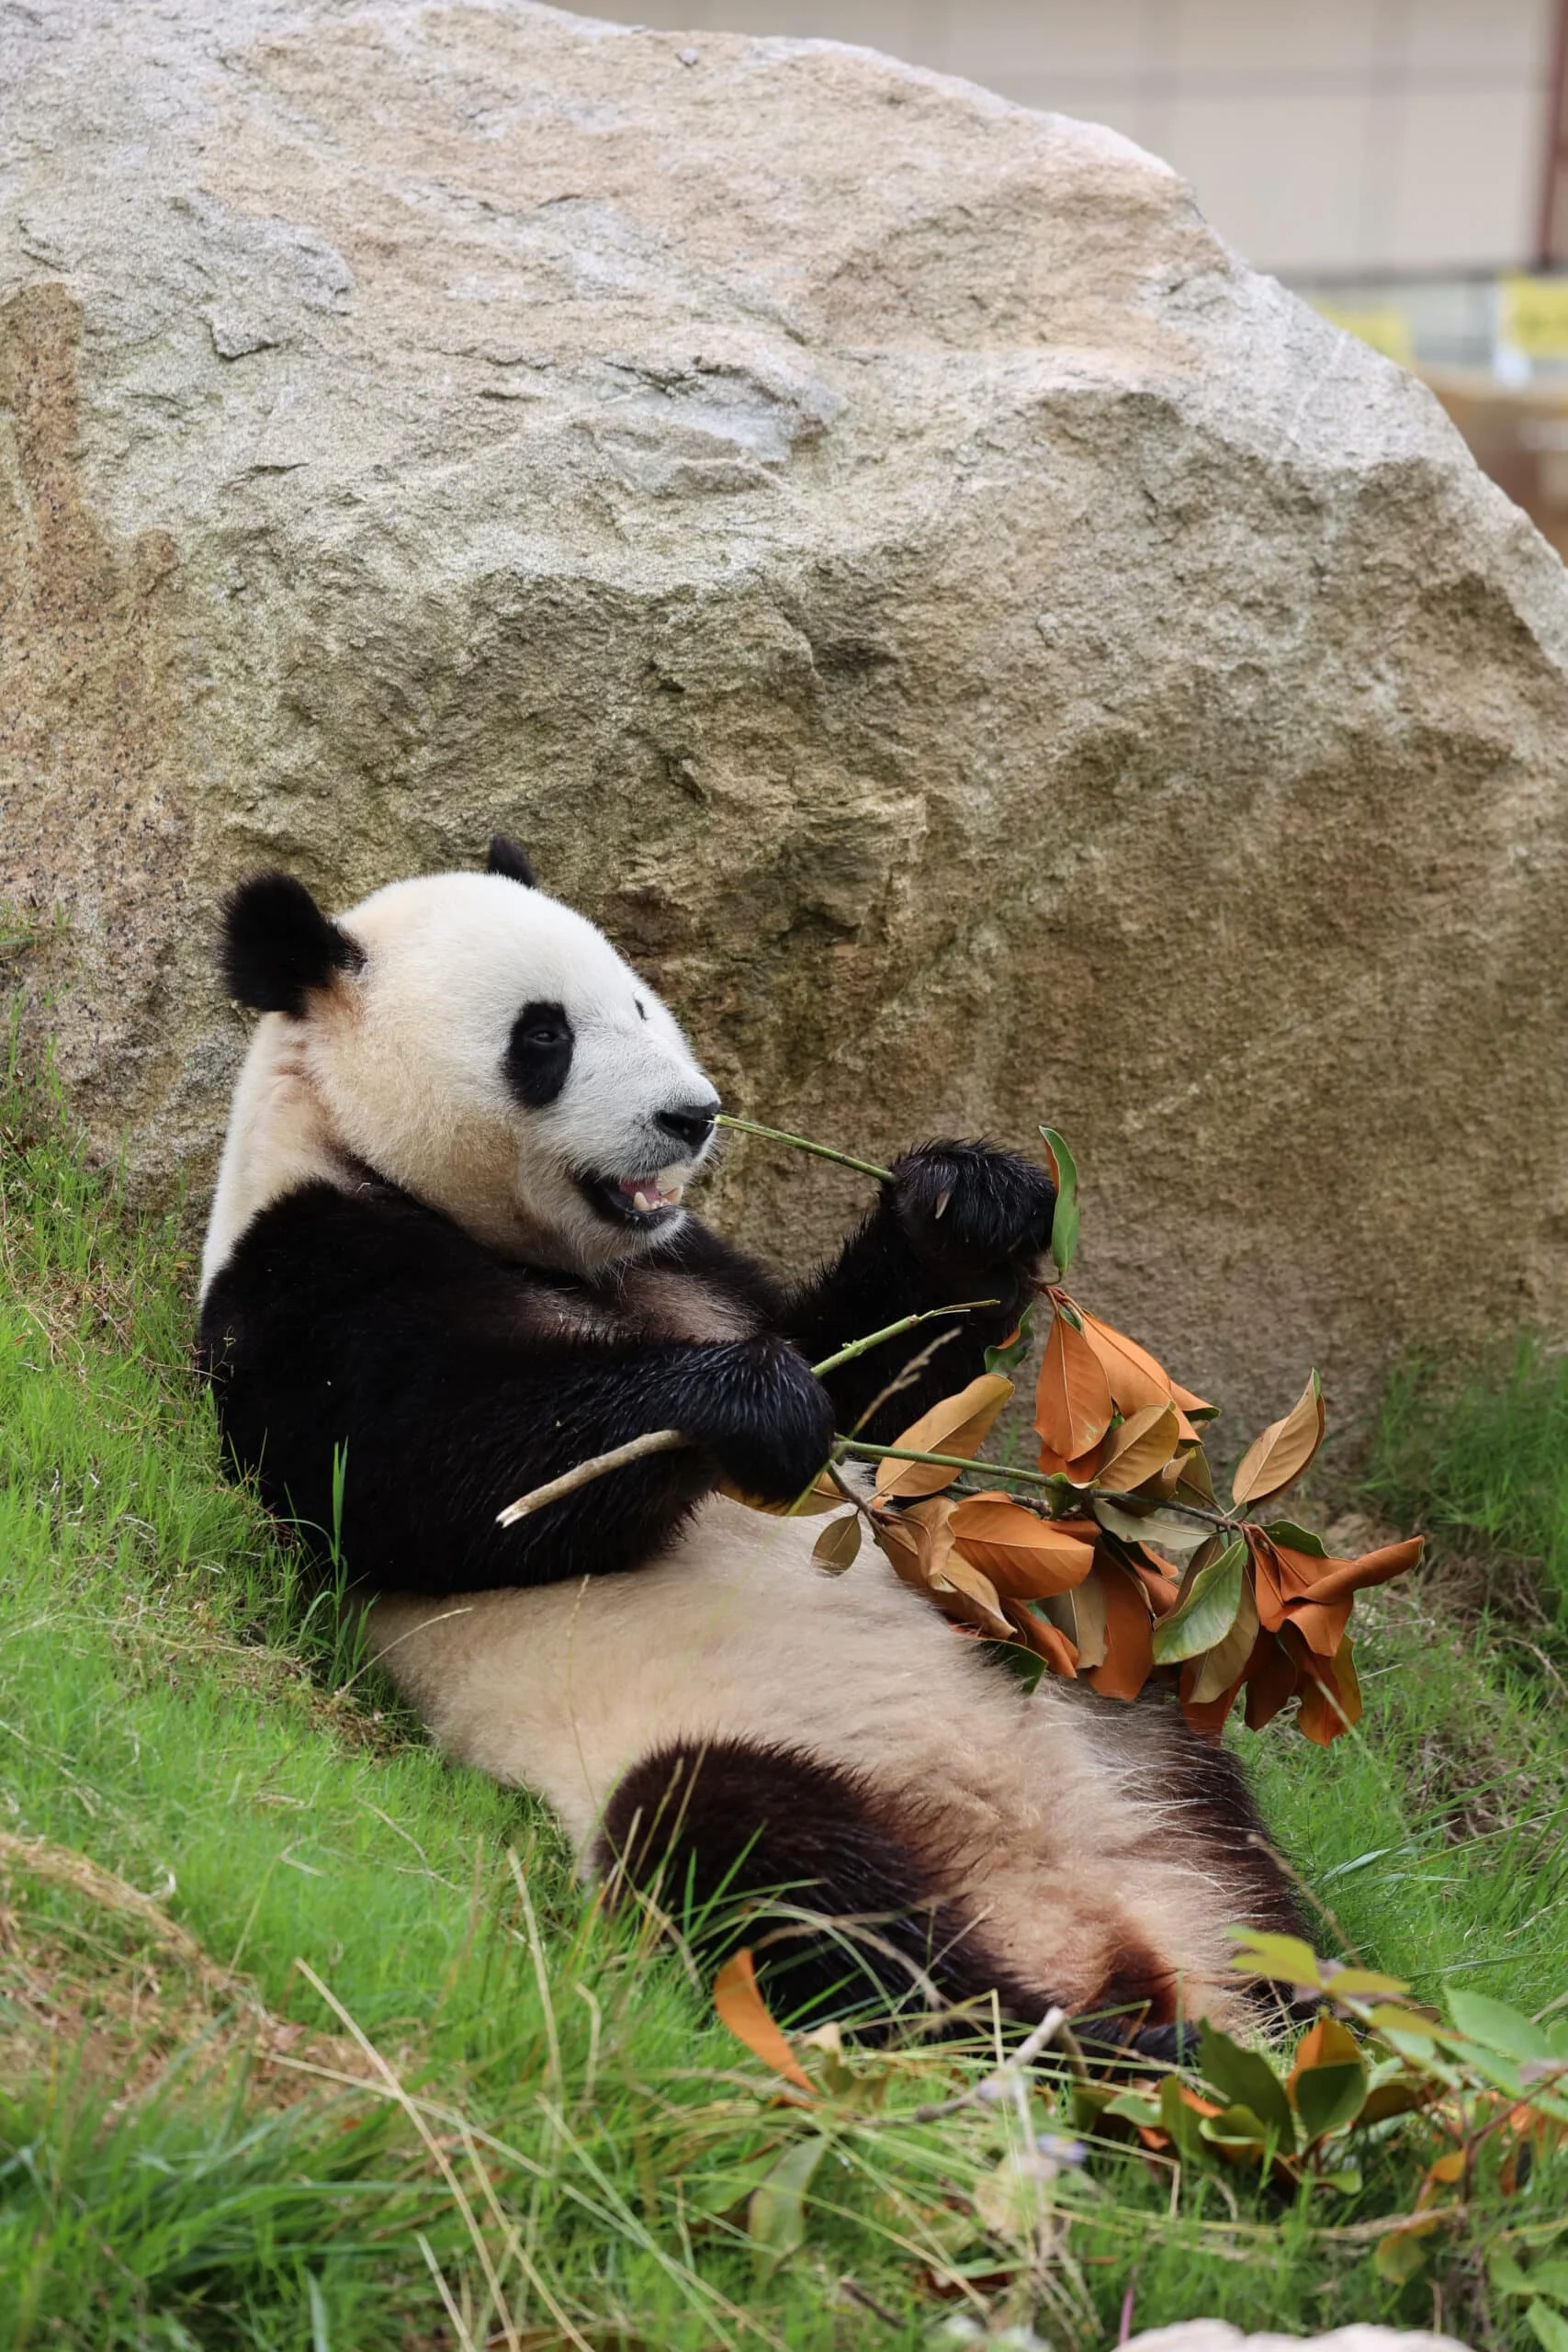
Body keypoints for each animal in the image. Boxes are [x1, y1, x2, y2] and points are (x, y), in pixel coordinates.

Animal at [198, 839, 1302, 2049]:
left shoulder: (696, 1266)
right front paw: (746, 1405)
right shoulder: (306, 1275)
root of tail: (1097, 1929)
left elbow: (877, 1414)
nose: (692, 1115)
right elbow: (425, 1481)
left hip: (1108, 1721)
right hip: (738, 1758)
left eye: (637, 1000)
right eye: (544, 1037)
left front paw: (969, 1205)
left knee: (1227, 1845)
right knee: (762, 1864)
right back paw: (1089, 2041)